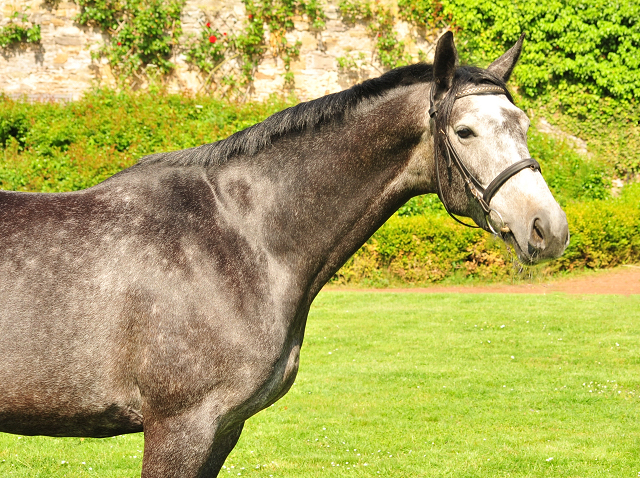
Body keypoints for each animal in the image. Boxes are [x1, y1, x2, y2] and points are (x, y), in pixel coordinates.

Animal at [1, 31, 568, 476]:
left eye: (522, 124)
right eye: (464, 131)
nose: (548, 228)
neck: (240, 239)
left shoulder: (221, 429)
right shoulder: (180, 427)